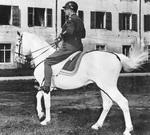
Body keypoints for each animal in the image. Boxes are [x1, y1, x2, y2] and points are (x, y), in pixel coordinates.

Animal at [15, 31, 148, 135]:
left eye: (17, 44)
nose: (17, 60)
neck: (44, 58)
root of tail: (116, 55)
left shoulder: (47, 86)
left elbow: (47, 103)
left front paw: (46, 120)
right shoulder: (47, 87)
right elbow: (38, 96)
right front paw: (40, 113)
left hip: (108, 87)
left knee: (123, 102)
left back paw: (127, 130)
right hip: (103, 87)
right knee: (107, 104)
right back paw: (97, 125)